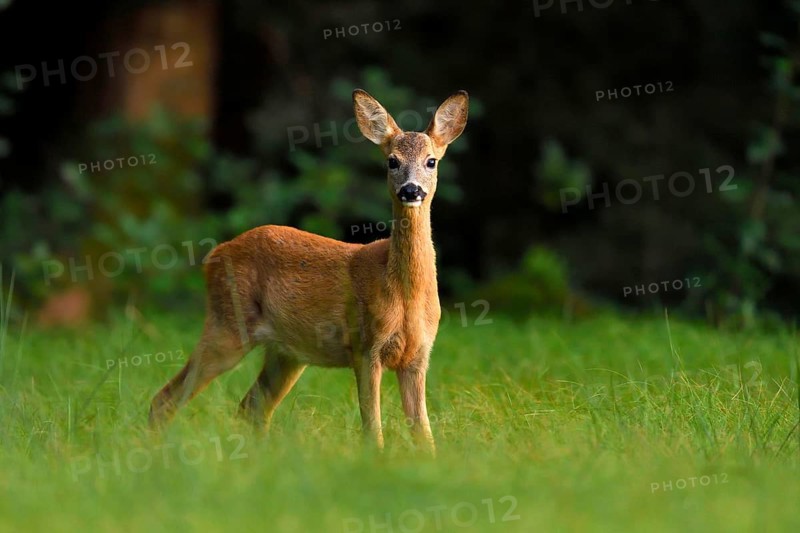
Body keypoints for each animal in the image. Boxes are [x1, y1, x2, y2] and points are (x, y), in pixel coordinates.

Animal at [148, 88, 469, 454]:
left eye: (431, 161)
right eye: (392, 161)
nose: (411, 190)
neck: (405, 295)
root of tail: (214, 254)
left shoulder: (418, 356)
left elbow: (424, 434)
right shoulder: (364, 345)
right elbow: (372, 428)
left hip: (286, 353)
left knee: (250, 407)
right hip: (228, 324)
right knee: (166, 398)